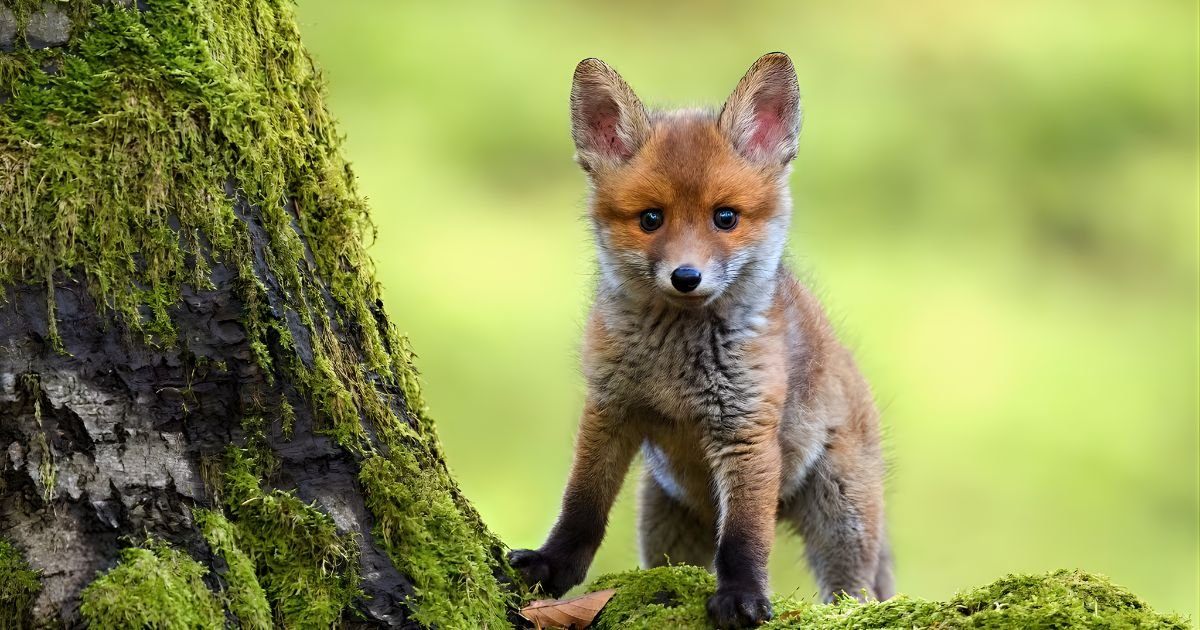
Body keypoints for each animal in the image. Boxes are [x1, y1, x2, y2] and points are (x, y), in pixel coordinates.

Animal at [507, 52, 893, 629]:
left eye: (725, 217)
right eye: (651, 219)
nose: (686, 277)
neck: (674, 367)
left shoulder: (746, 431)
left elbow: (743, 539)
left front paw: (741, 597)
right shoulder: (609, 409)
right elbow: (581, 507)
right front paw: (553, 565)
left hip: (840, 514)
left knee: (855, 591)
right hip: (664, 519)